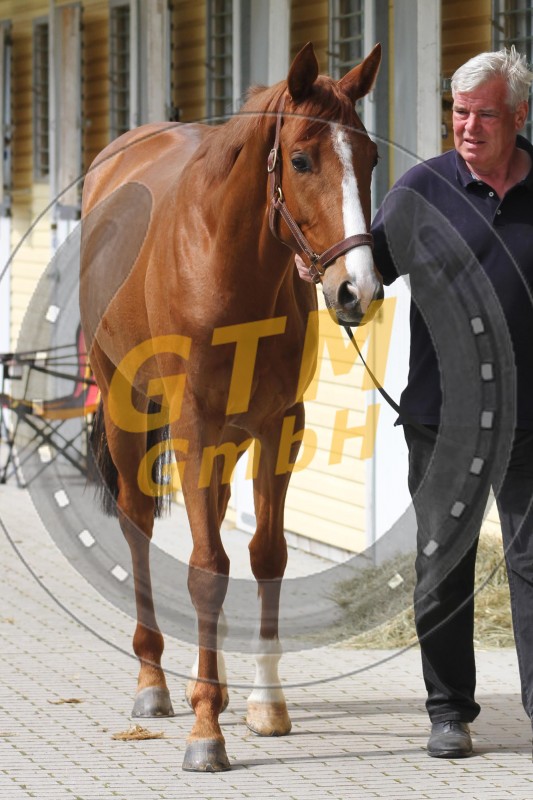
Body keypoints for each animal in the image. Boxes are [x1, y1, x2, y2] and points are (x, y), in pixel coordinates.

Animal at [79, 42, 383, 772]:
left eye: (368, 158)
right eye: (300, 159)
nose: (357, 290)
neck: (228, 265)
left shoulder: (279, 428)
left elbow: (263, 555)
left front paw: (264, 704)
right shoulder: (192, 427)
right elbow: (207, 569)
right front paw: (204, 729)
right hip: (128, 406)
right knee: (139, 525)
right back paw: (154, 682)